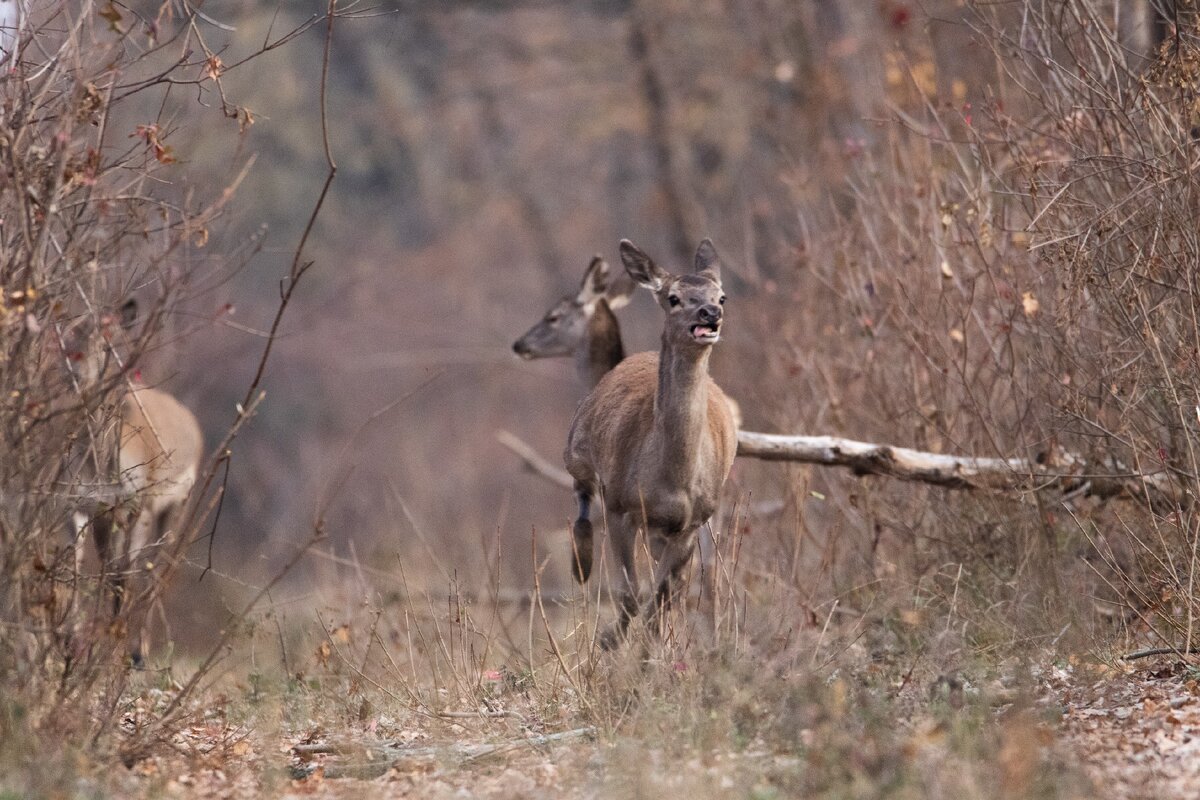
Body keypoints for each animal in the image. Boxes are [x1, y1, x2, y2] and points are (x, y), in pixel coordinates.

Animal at [64, 299, 202, 662]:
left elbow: (124, 572)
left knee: (153, 569)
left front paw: (116, 646)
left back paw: (140, 650)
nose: (75, 376)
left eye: (106, 343)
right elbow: (79, 565)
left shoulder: (136, 506)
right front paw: (70, 640)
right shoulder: (82, 506)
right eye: (68, 337)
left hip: (173, 508)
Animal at [564, 239, 739, 652]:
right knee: (581, 493)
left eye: (722, 296)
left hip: (664, 530)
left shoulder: (691, 521)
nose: (710, 313)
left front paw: (647, 652)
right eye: (673, 298)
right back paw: (581, 560)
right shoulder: (620, 505)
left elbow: (660, 599)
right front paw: (609, 640)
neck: (670, 481)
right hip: (577, 445)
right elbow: (630, 593)